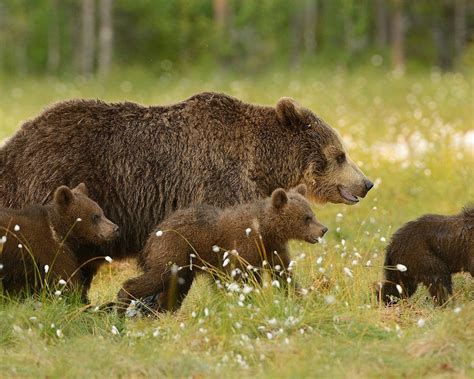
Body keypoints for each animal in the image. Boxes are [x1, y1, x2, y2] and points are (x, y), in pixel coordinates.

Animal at [0, 93, 372, 290]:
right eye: (340, 154)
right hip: (55, 184)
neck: (262, 163)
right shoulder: (219, 182)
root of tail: (15, 143)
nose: (366, 183)